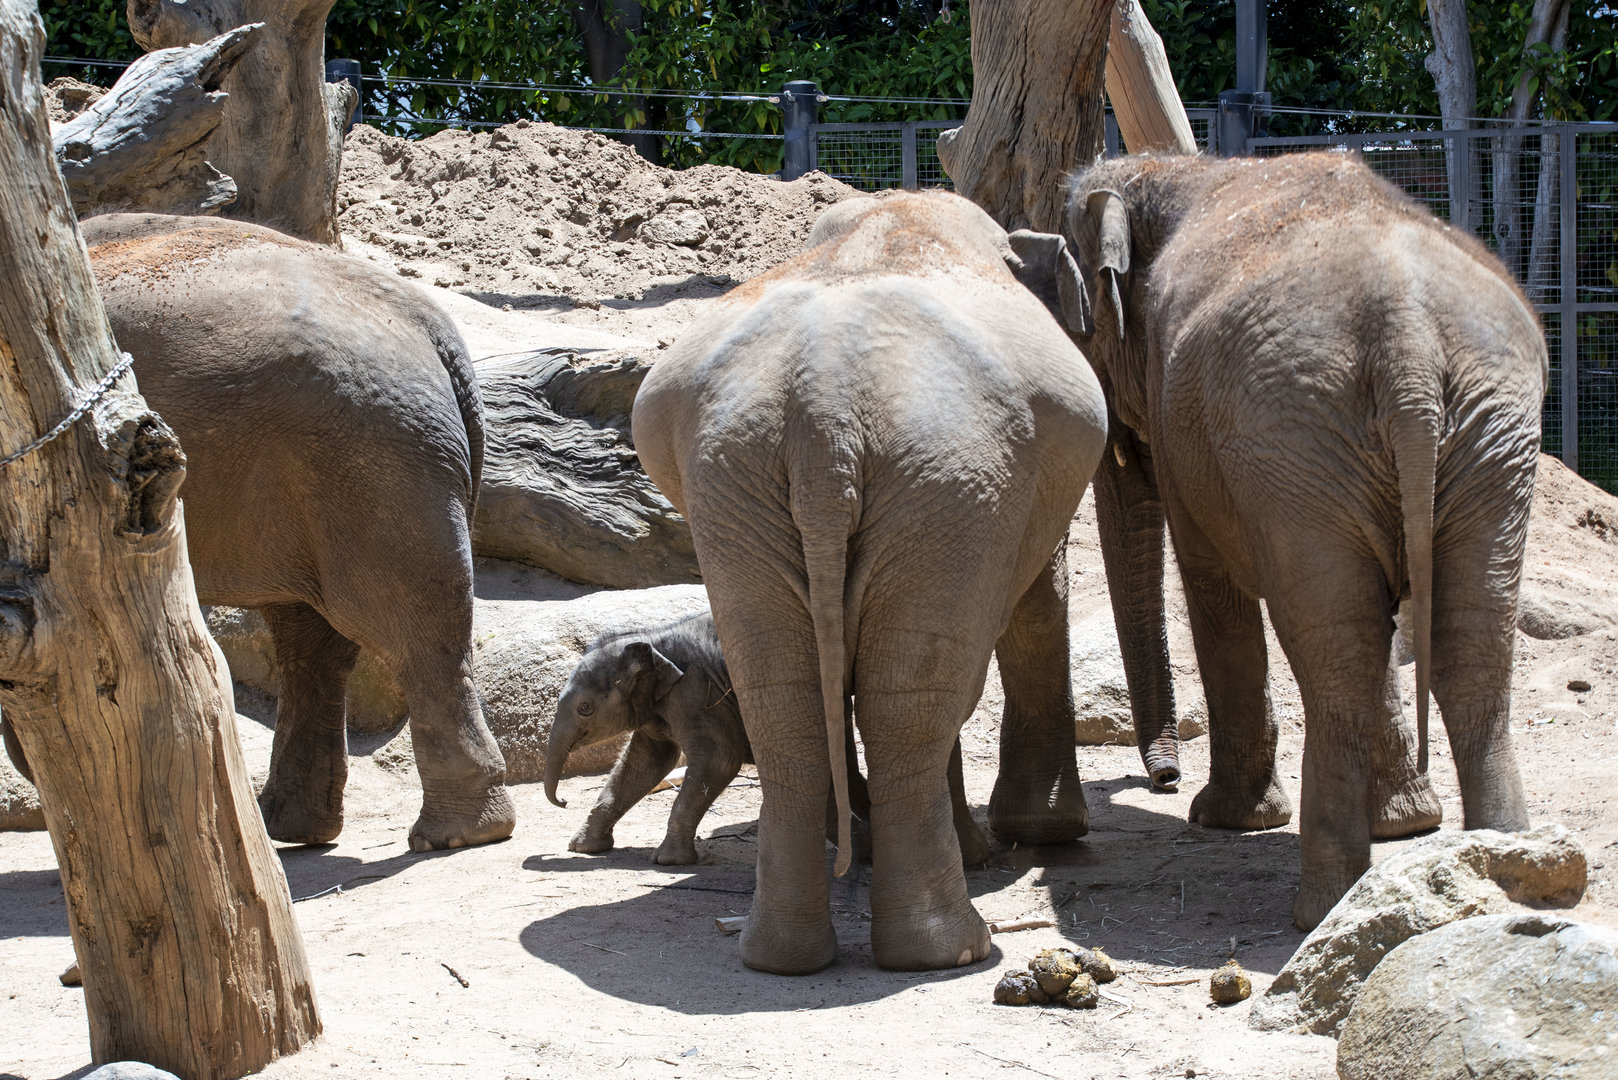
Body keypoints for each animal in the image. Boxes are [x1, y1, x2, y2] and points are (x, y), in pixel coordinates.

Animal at [64, 213, 516, 853]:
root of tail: (437, 335)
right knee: (315, 637)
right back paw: (296, 827)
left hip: (371, 460)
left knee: (411, 628)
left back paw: (453, 836)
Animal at [543, 610, 990, 867]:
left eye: (585, 709)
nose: (562, 801)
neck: (652, 637)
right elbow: (646, 763)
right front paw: (584, 848)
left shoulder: (695, 694)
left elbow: (717, 759)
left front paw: (668, 862)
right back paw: (866, 849)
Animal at [631, 191, 1109, 972]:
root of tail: (823, 415)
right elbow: (1037, 601)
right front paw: (1027, 840)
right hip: (950, 484)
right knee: (912, 699)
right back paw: (955, 949)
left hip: (749, 485)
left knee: (785, 697)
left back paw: (786, 953)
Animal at [1038, 152, 1543, 928]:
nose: (1163, 780)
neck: (1172, 169)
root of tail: (1408, 341)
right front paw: (1407, 824)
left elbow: (1211, 584)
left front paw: (1225, 818)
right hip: (1484, 436)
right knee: (1462, 639)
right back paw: (1503, 879)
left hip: (1302, 436)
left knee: (1337, 648)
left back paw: (1323, 907)